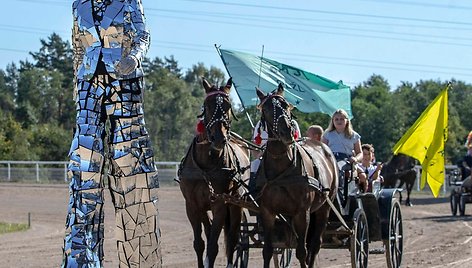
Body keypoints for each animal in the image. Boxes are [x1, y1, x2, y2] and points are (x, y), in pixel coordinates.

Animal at [178, 78, 251, 268]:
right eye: (207, 105)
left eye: (228, 105)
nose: (219, 138)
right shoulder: (192, 205)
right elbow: (200, 243)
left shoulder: (220, 204)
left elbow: (213, 246)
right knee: (210, 229)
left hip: (236, 204)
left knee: (233, 237)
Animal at [256, 85, 338, 268]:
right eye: (267, 109)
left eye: (286, 105)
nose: (286, 131)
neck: (282, 170)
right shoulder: (267, 212)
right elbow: (267, 251)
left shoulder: (302, 212)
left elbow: (302, 251)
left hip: (324, 207)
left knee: (314, 244)